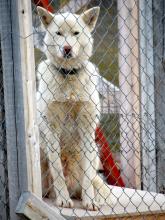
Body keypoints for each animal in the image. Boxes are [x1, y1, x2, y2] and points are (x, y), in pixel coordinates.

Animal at [36, 6, 111, 211]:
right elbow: (57, 172)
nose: (67, 49)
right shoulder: (51, 129)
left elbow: (87, 179)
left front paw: (90, 202)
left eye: (76, 33)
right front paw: (63, 200)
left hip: (94, 150)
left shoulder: (86, 128)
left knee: (90, 180)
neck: (68, 75)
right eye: (58, 33)